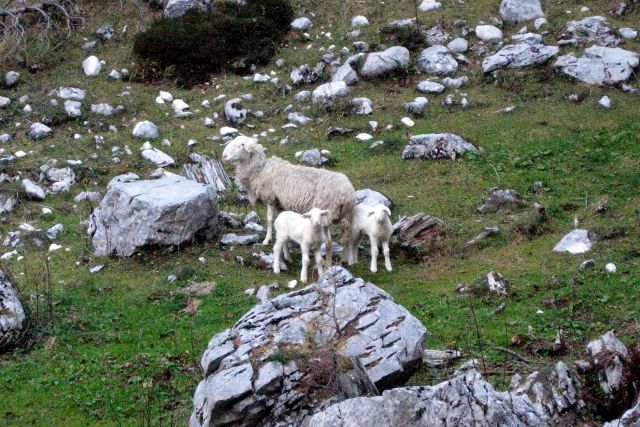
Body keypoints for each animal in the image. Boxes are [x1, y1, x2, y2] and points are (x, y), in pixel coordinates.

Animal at [222, 136, 358, 264]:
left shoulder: (270, 197)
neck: (261, 170)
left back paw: (330, 263)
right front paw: (286, 251)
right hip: (346, 215)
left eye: (242, 145)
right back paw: (345, 261)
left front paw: (266, 240)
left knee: (329, 242)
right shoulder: (280, 204)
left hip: (326, 213)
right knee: (346, 239)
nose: (224, 156)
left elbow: (270, 220)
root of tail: (346, 193)